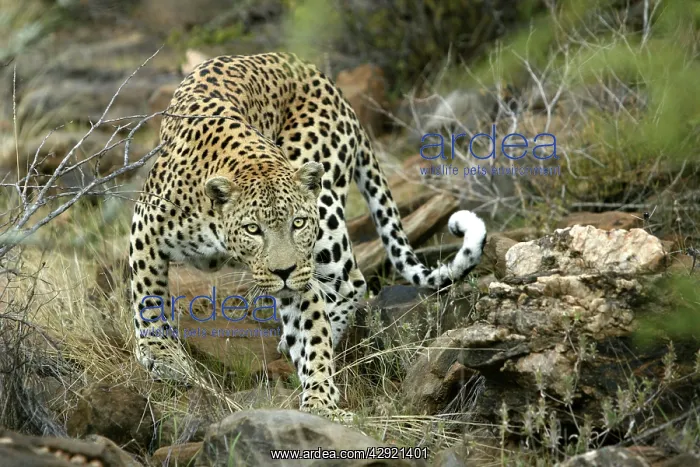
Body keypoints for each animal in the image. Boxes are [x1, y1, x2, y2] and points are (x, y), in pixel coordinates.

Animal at [129, 52, 487, 416]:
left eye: (298, 223)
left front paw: (319, 400)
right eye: (253, 229)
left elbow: (314, 330)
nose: (283, 271)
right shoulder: (145, 227)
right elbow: (148, 296)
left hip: (325, 205)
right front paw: (161, 354)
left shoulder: (301, 272)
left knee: (352, 281)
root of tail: (329, 84)